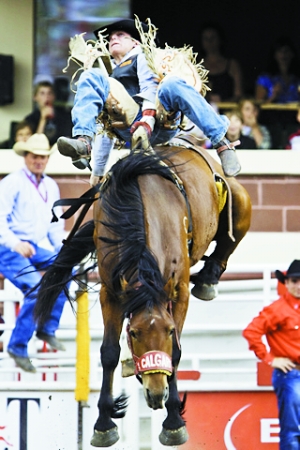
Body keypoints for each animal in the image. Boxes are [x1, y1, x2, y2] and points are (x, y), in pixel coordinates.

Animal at [34, 141, 252, 446]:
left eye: (169, 331)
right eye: (134, 333)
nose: (156, 391)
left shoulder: (179, 291)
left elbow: (176, 353)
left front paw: (173, 423)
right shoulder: (111, 293)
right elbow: (109, 353)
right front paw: (103, 424)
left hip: (239, 199)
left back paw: (208, 279)